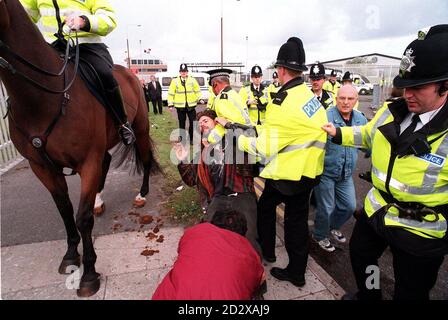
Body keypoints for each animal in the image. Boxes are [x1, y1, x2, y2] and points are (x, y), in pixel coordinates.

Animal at [0, 0, 161, 296]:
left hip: (140, 128)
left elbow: (82, 217)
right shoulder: (41, 166)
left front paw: (89, 274)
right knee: (107, 162)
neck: (44, 98)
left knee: (144, 160)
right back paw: (99, 198)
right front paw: (70, 256)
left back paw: (141, 194)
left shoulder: (87, 161)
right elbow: (65, 211)